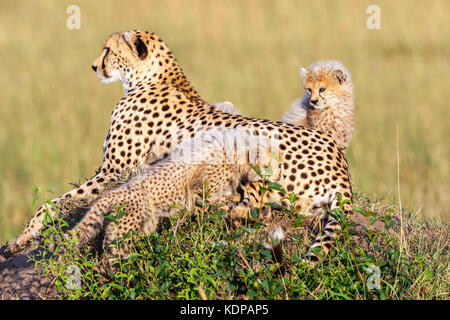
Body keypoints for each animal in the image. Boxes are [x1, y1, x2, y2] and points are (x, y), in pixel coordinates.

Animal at [5, 30, 354, 262]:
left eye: (107, 50)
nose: (93, 67)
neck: (151, 77)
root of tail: (341, 164)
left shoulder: (113, 173)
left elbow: (53, 203)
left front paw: (22, 239)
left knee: (257, 205)